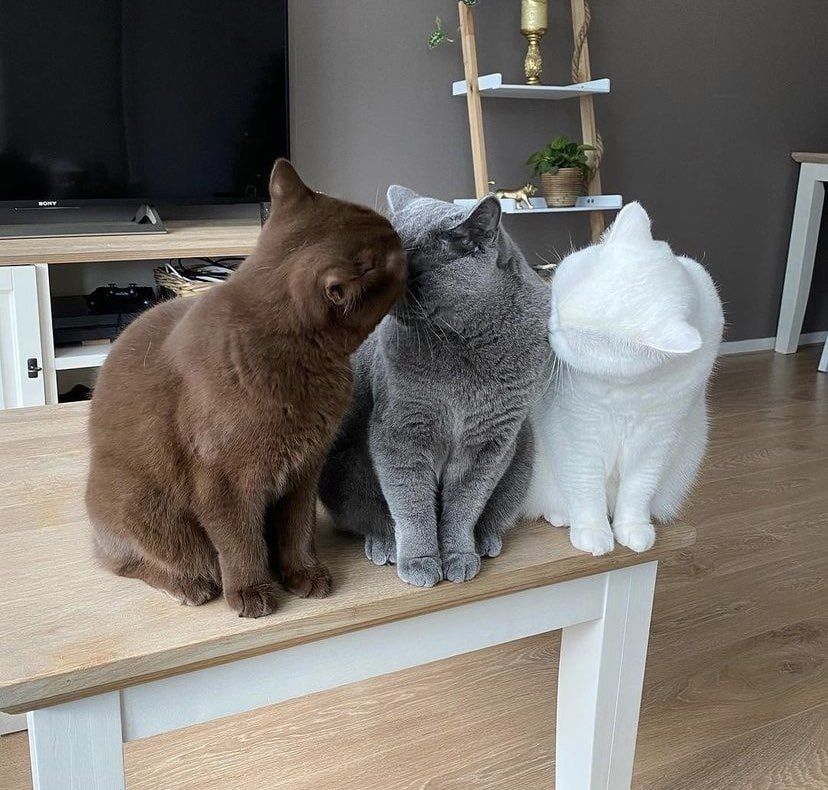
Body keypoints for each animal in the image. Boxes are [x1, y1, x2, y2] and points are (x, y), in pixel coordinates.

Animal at [86, 160, 406, 617]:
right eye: (392, 253)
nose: (405, 242)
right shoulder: (223, 481)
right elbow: (239, 540)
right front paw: (252, 591)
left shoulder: (304, 469)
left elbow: (298, 527)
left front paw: (305, 574)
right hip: (137, 497)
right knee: (129, 562)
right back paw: (191, 584)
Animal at [319, 187, 549, 587]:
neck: (462, 342)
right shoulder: (400, 432)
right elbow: (411, 505)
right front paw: (421, 561)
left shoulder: (491, 442)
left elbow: (464, 506)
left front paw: (459, 556)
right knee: (370, 517)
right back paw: (385, 545)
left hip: (522, 452)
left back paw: (484, 541)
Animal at [523, 202, 724, 556]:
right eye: (554, 301)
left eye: (575, 337)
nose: (547, 328)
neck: (628, 390)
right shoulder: (580, 433)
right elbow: (585, 487)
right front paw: (593, 533)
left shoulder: (659, 439)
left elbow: (638, 491)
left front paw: (632, 530)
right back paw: (563, 516)